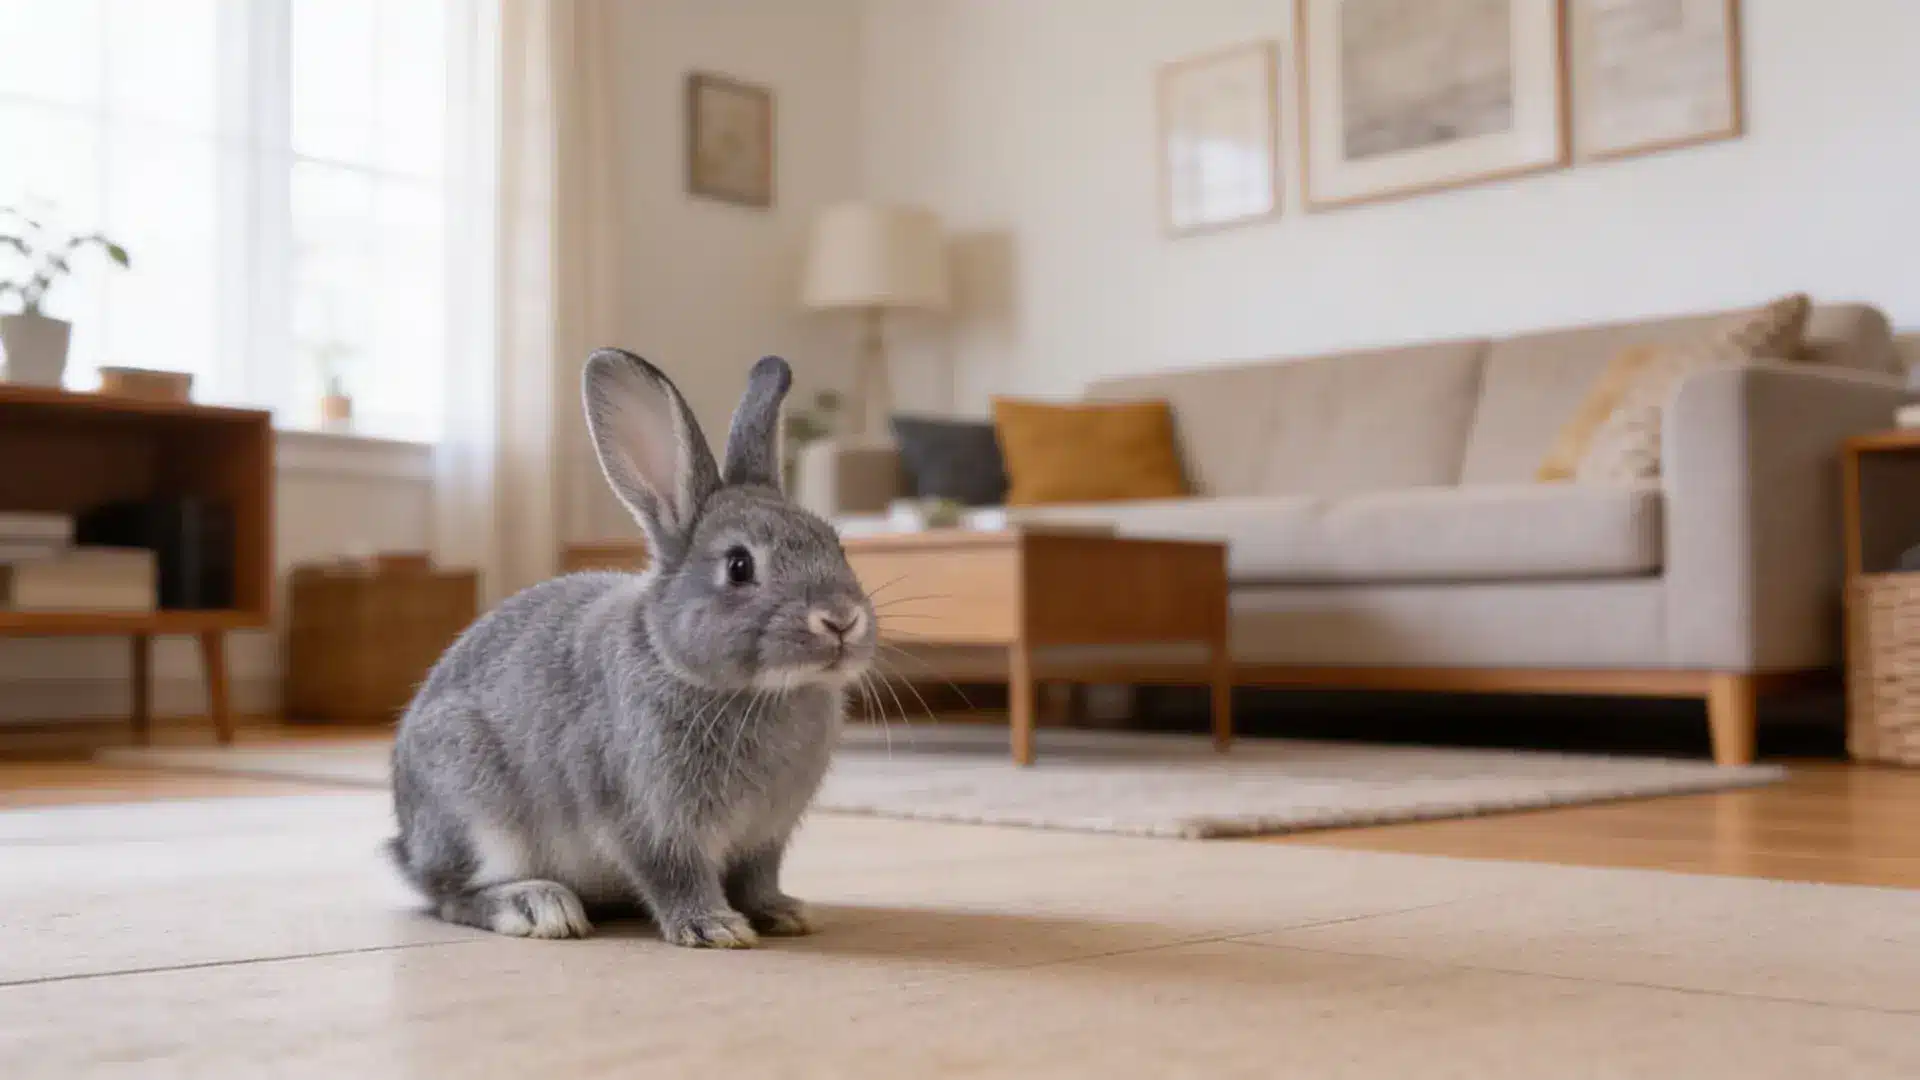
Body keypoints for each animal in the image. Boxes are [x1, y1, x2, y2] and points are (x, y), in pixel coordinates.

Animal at [388, 350, 877, 948]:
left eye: (837, 545)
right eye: (739, 566)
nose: (841, 620)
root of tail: (406, 843)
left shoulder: (765, 837)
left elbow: (758, 878)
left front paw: (783, 913)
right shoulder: (648, 821)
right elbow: (673, 875)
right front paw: (714, 927)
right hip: (473, 808)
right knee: (452, 896)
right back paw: (537, 906)